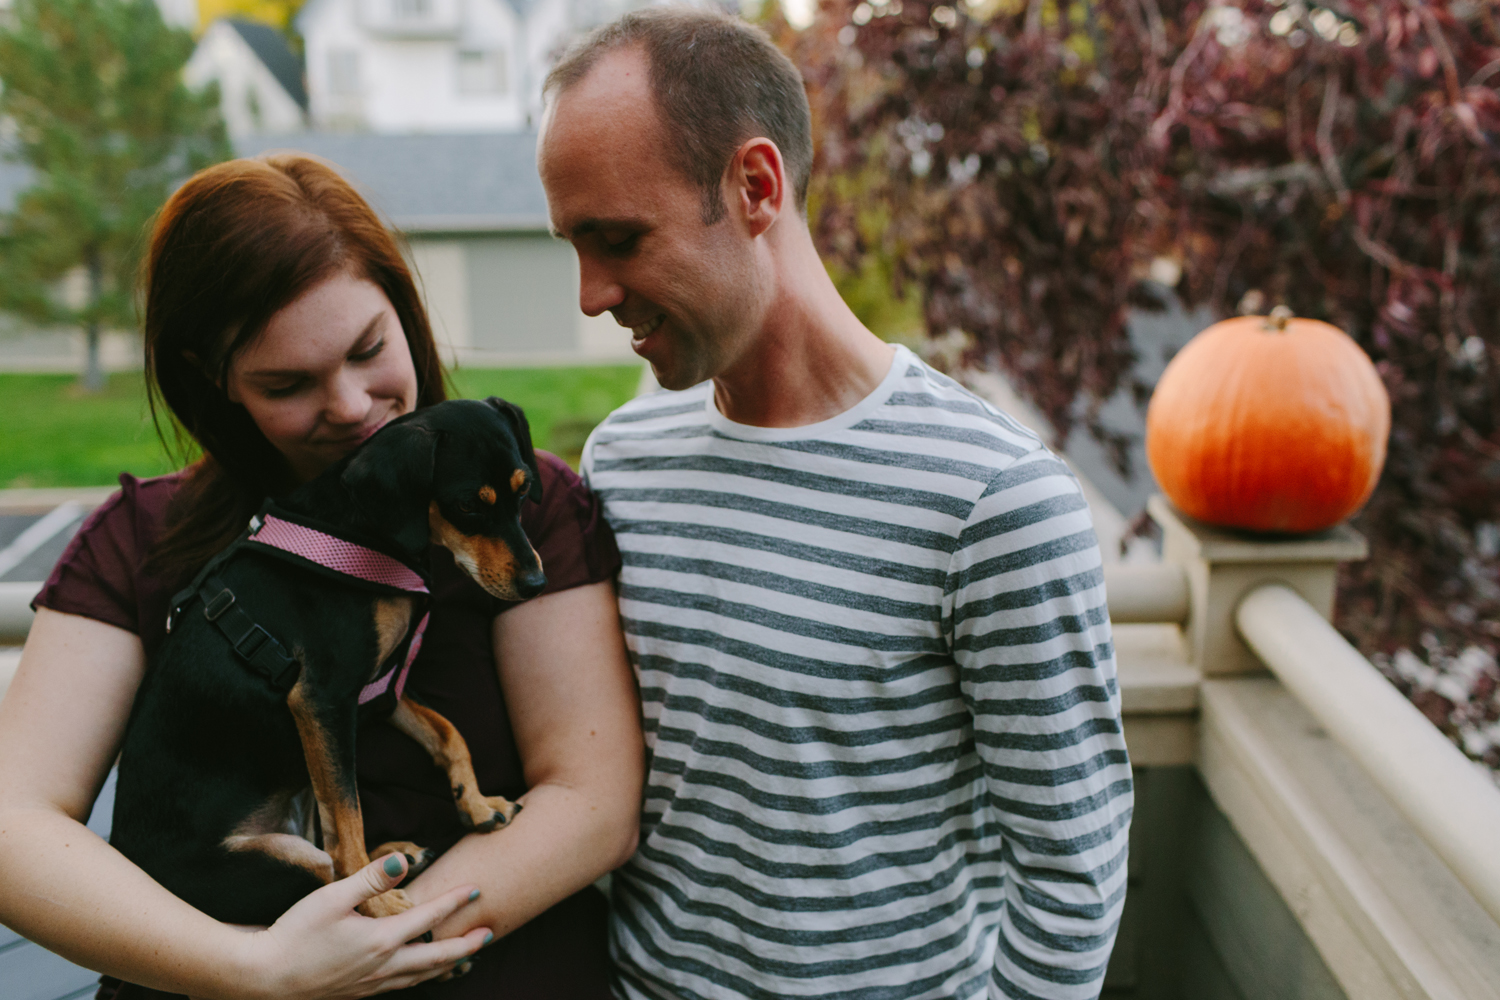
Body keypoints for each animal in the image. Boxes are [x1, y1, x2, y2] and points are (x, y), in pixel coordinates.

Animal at [109, 395, 546, 929]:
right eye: (467, 505)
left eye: (523, 492)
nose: (535, 584)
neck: (362, 528)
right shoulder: (324, 697)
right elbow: (346, 812)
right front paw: (379, 903)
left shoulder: (379, 687)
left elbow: (447, 733)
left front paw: (477, 804)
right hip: (272, 863)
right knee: (330, 873)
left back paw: (397, 855)